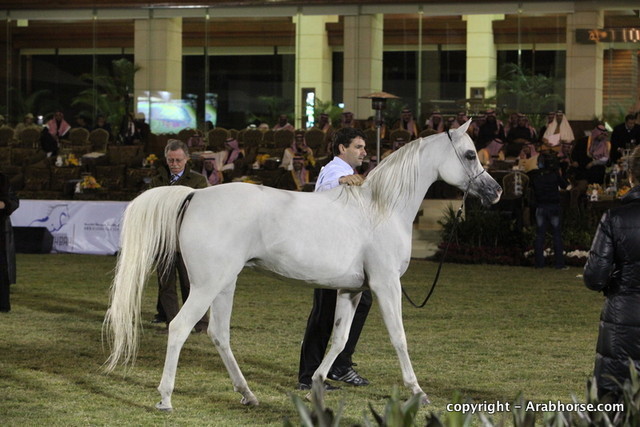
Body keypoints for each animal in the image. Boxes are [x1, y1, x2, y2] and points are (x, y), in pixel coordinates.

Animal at [103, 119, 502, 410]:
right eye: (469, 154)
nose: (496, 192)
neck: (381, 208)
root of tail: (194, 195)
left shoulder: (351, 290)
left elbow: (339, 339)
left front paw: (316, 385)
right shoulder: (387, 285)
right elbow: (399, 338)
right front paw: (418, 392)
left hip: (224, 284)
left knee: (219, 334)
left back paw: (248, 394)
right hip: (206, 285)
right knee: (179, 327)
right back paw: (166, 398)